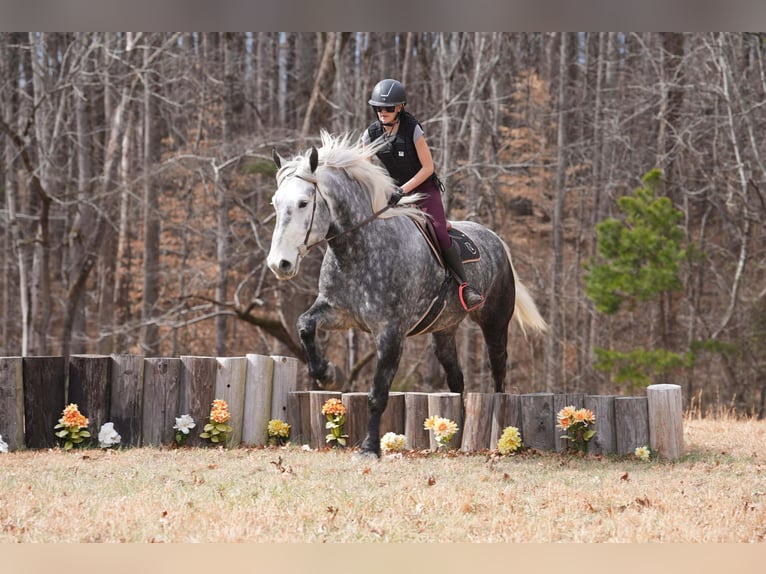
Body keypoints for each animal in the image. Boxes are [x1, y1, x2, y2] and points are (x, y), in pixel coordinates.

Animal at [267, 131, 547, 457]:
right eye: (275, 203)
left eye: (303, 203)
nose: (279, 264)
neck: (358, 248)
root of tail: (496, 239)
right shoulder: (338, 312)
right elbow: (304, 324)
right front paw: (325, 372)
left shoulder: (390, 332)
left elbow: (378, 393)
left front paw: (370, 449)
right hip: (444, 329)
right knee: (456, 377)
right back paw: (459, 429)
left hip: (495, 320)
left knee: (498, 364)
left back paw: (499, 424)